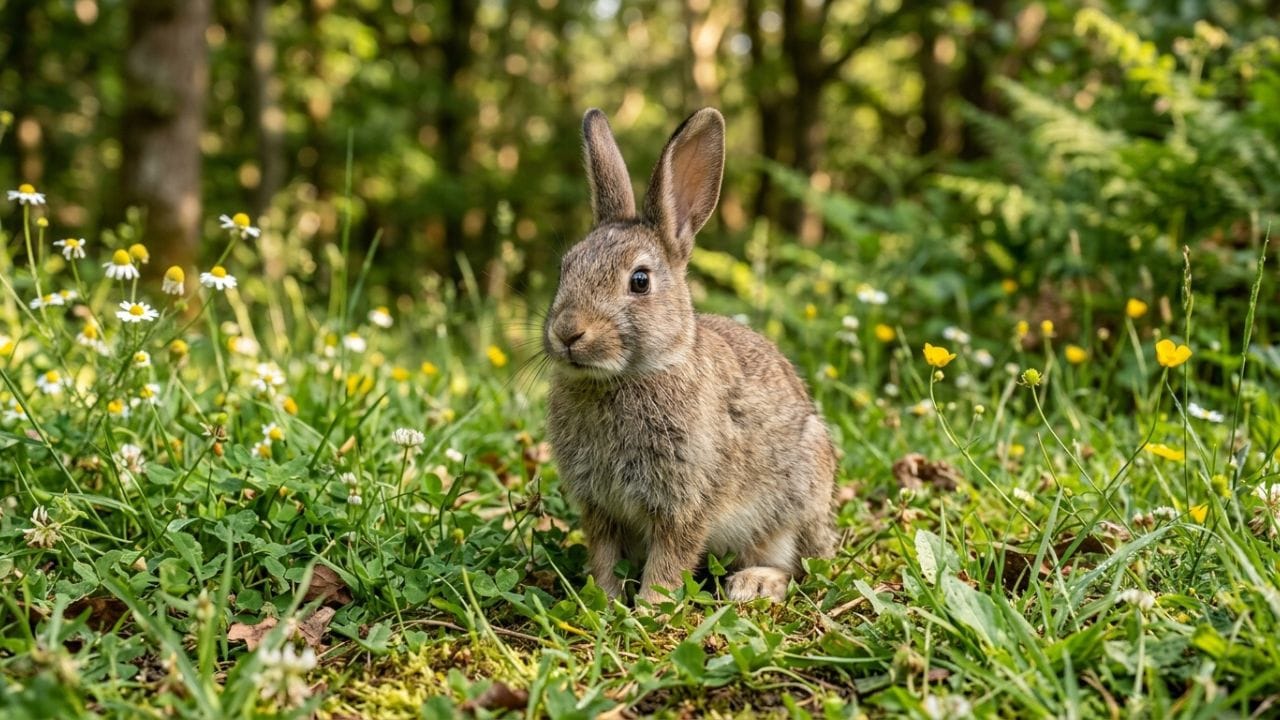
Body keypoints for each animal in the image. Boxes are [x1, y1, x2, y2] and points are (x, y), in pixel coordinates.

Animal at [543, 107, 837, 604]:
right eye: (566, 268)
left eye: (640, 281)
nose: (567, 332)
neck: (627, 377)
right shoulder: (600, 508)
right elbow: (604, 554)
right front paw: (603, 599)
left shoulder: (687, 498)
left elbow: (671, 555)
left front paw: (650, 607)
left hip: (796, 505)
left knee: (798, 565)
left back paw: (754, 583)